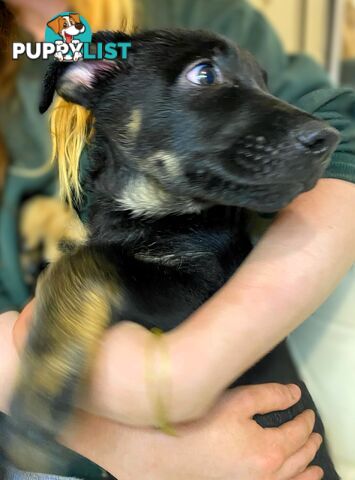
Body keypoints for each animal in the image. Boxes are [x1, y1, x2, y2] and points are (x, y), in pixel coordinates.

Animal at [3, 29, 342, 476]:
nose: (329, 140)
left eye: (265, 83)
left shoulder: (198, 295)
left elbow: (84, 263)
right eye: (204, 74)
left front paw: (39, 400)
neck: (152, 212)